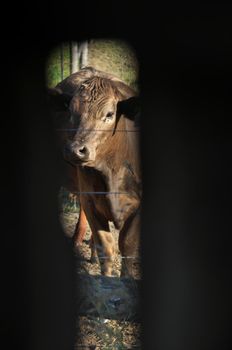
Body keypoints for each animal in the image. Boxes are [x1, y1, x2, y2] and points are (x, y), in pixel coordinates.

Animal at [49, 67, 141, 276]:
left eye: (109, 114)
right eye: (71, 112)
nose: (75, 150)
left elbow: (128, 247)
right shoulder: (91, 200)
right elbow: (106, 248)